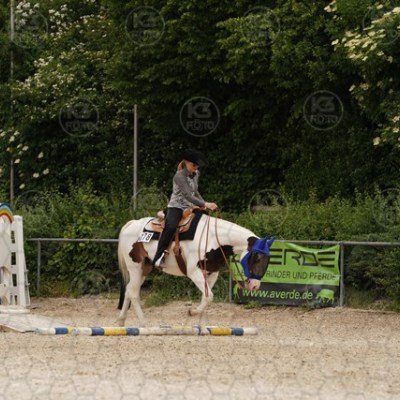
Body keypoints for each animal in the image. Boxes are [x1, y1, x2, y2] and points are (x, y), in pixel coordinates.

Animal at [116, 212, 274, 326]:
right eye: (257, 257)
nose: (255, 286)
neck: (213, 238)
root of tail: (131, 224)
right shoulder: (194, 272)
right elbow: (209, 296)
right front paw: (192, 312)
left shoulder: (211, 273)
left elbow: (206, 297)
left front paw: (199, 321)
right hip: (135, 268)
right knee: (133, 293)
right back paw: (144, 323)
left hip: (144, 269)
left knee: (129, 290)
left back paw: (121, 321)